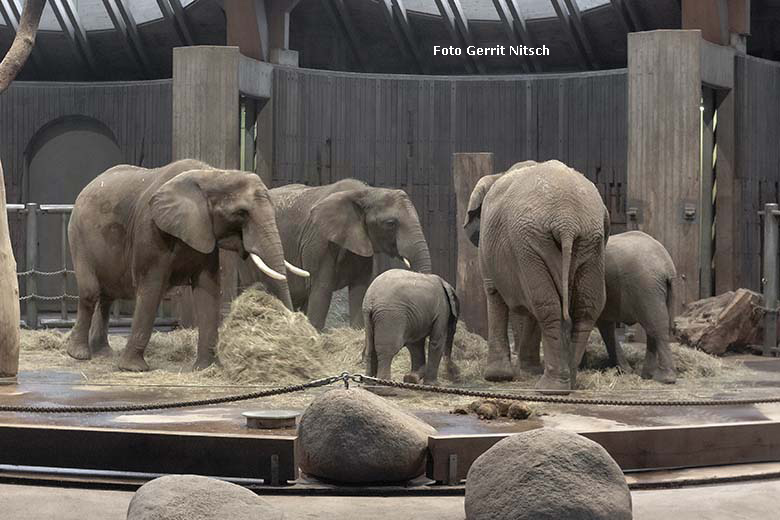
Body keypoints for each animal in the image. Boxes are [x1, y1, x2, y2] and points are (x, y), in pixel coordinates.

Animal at [64, 160, 308, 372]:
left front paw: (206, 368)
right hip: (79, 235)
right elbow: (151, 290)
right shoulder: (151, 231)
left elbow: (208, 291)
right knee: (91, 292)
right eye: (241, 213)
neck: (213, 174)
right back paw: (78, 354)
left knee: (107, 295)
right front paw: (133, 369)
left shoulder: (205, 234)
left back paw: (102, 352)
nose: (295, 327)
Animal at [464, 160, 608, 392]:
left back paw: (550, 387)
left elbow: (493, 293)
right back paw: (569, 382)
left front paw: (497, 377)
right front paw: (527, 371)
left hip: (530, 241)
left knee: (545, 304)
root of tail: (567, 222)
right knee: (586, 306)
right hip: (591, 241)